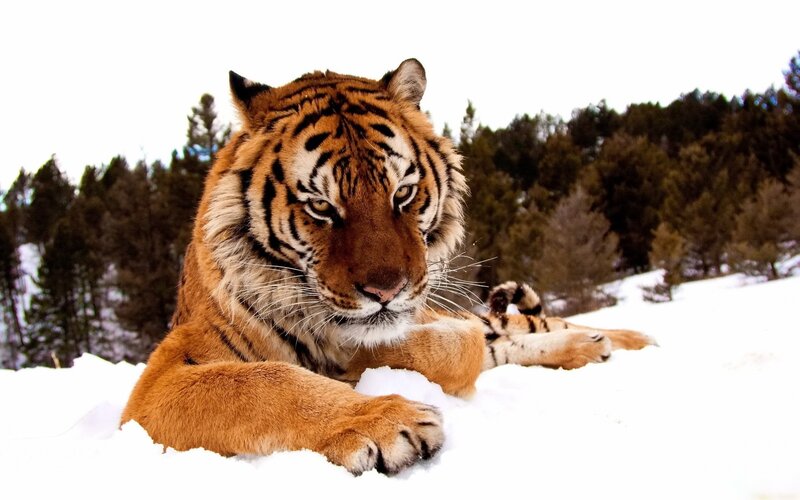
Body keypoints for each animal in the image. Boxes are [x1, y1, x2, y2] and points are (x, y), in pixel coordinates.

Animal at [121, 59, 655, 475]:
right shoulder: (160, 380)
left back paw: (625, 340)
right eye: (321, 207)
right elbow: (264, 383)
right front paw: (386, 420)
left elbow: (448, 346)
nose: (386, 291)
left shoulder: (436, 320)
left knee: (536, 325)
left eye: (403, 193)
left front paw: (360, 364)